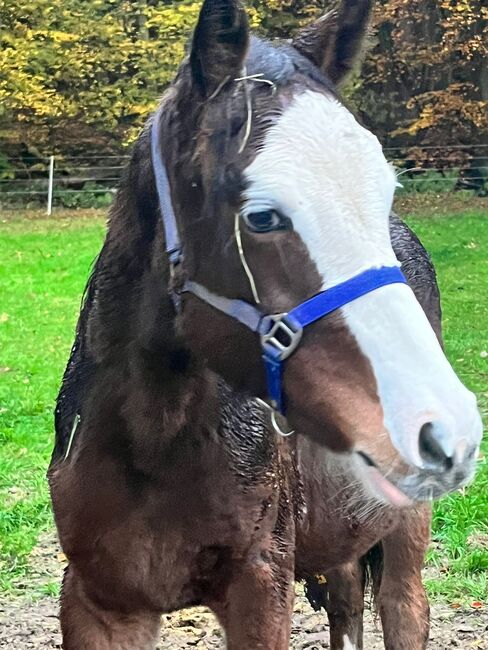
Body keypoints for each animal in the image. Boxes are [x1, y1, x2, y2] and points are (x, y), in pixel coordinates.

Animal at [47, 0, 482, 644]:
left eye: (383, 190)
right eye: (261, 215)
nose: (446, 427)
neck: (150, 437)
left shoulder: (261, 587)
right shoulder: (99, 602)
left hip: (404, 525)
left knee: (403, 608)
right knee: (346, 599)